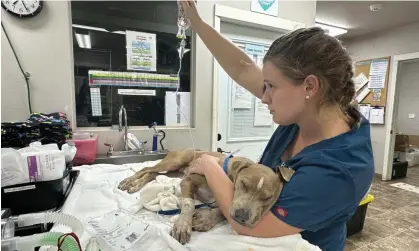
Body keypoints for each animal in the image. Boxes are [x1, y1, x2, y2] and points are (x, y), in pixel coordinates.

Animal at [118, 149, 296, 243]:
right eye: (243, 184)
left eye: (266, 198)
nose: (242, 216)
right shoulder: (188, 181)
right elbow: (189, 204)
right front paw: (183, 225)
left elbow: (222, 211)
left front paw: (205, 219)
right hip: (175, 162)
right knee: (147, 169)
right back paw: (130, 182)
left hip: (176, 172)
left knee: (153, 174)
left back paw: (137, 183)